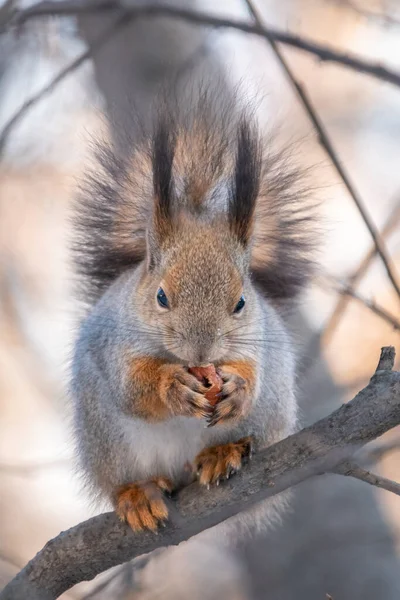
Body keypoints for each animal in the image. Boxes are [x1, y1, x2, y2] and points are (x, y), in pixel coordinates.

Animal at [72, 90, 316, 536]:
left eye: (240, 302)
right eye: (161, 297)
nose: (201, 354)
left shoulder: (256, 342)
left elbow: (251, 372)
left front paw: (237, 387)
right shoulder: (115, 344)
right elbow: (133, 388)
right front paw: (172, 386)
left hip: (271, 414)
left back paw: (224, 453)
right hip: (106, 438)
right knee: (126, 475)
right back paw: (138, 495)